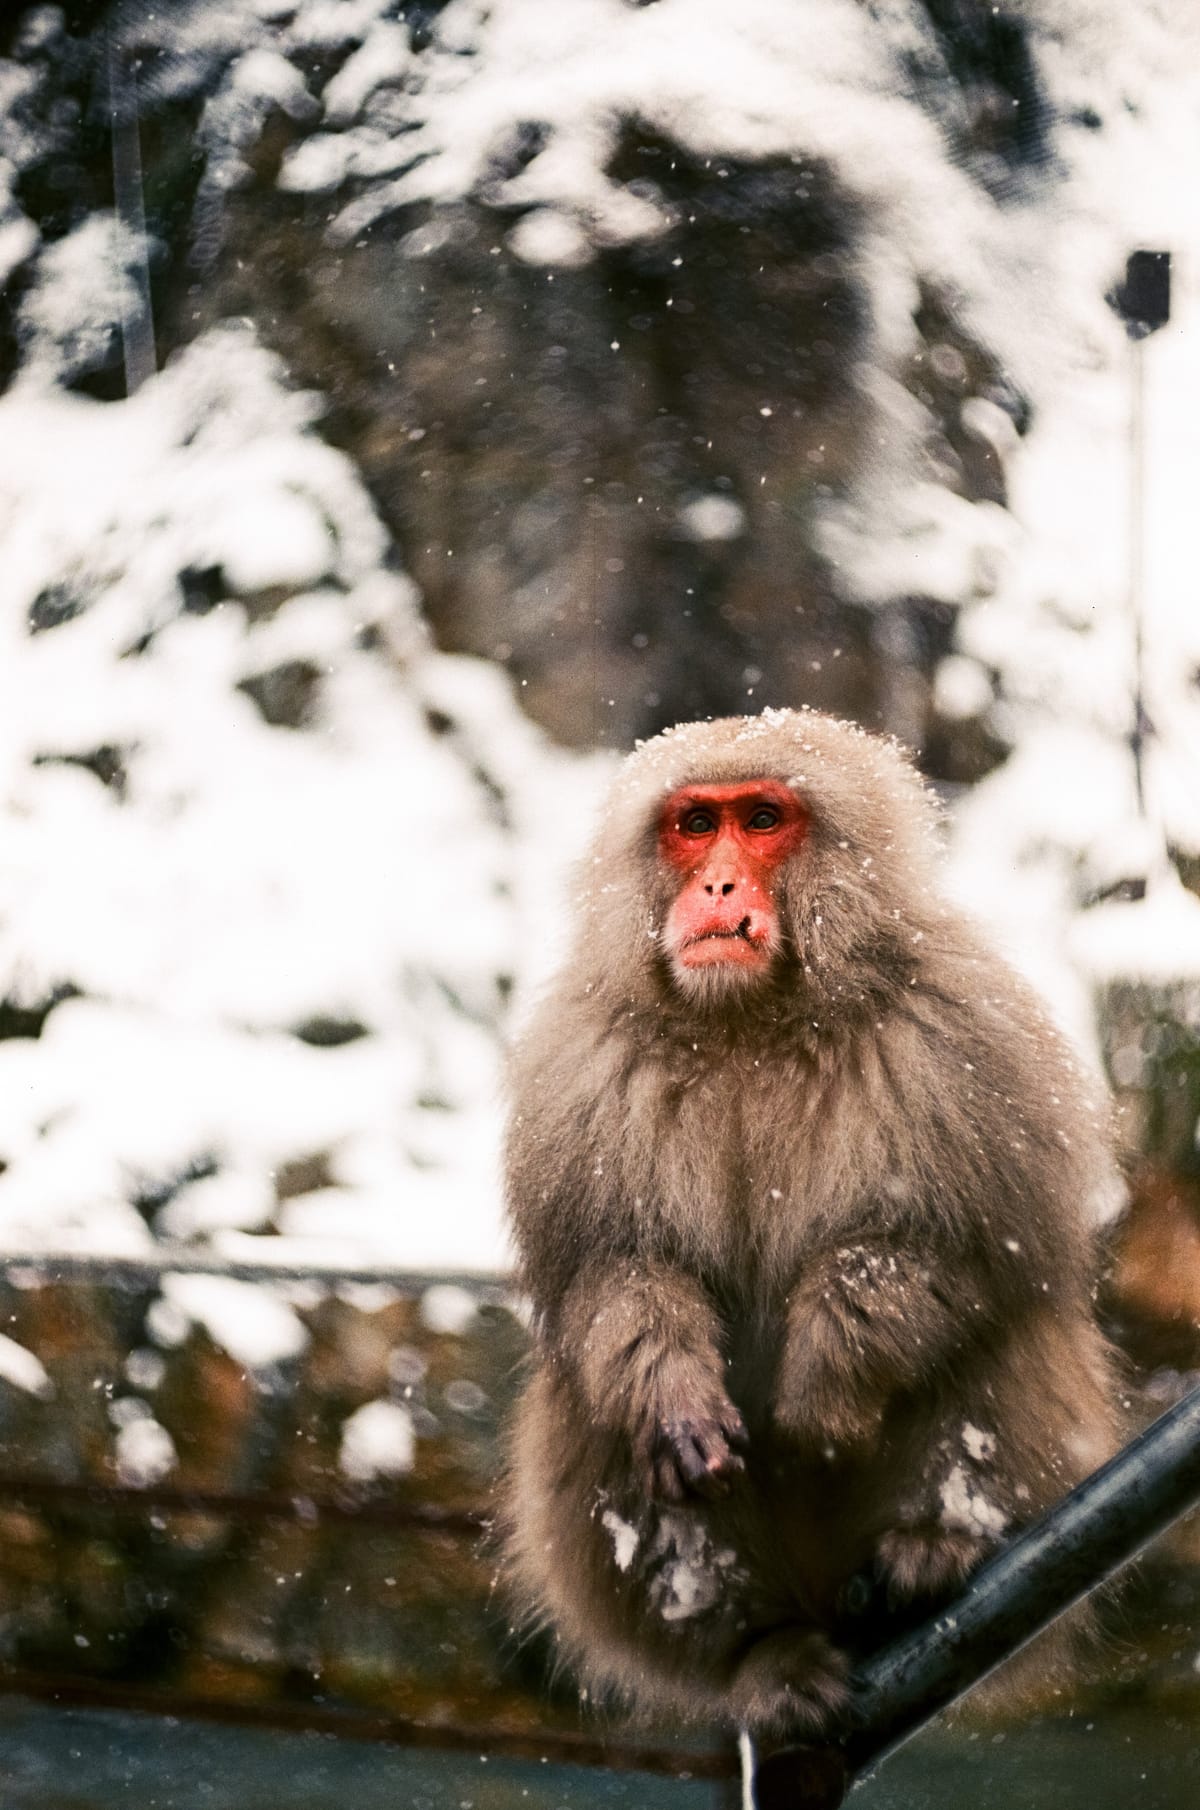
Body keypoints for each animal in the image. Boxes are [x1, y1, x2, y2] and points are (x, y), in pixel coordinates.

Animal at [502, 708, 1116, 1743]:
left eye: (761, 819)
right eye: (695, 825)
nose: (717, 885)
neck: (751, 1022)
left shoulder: (961, 1031)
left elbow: (964, 1248)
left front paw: (830, 1370)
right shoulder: (583, 1065)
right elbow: (613, 1274)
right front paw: (674, 1399)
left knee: (1002, 1332)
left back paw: (931, 1550)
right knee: (586, 1396)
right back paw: (765, 1649)